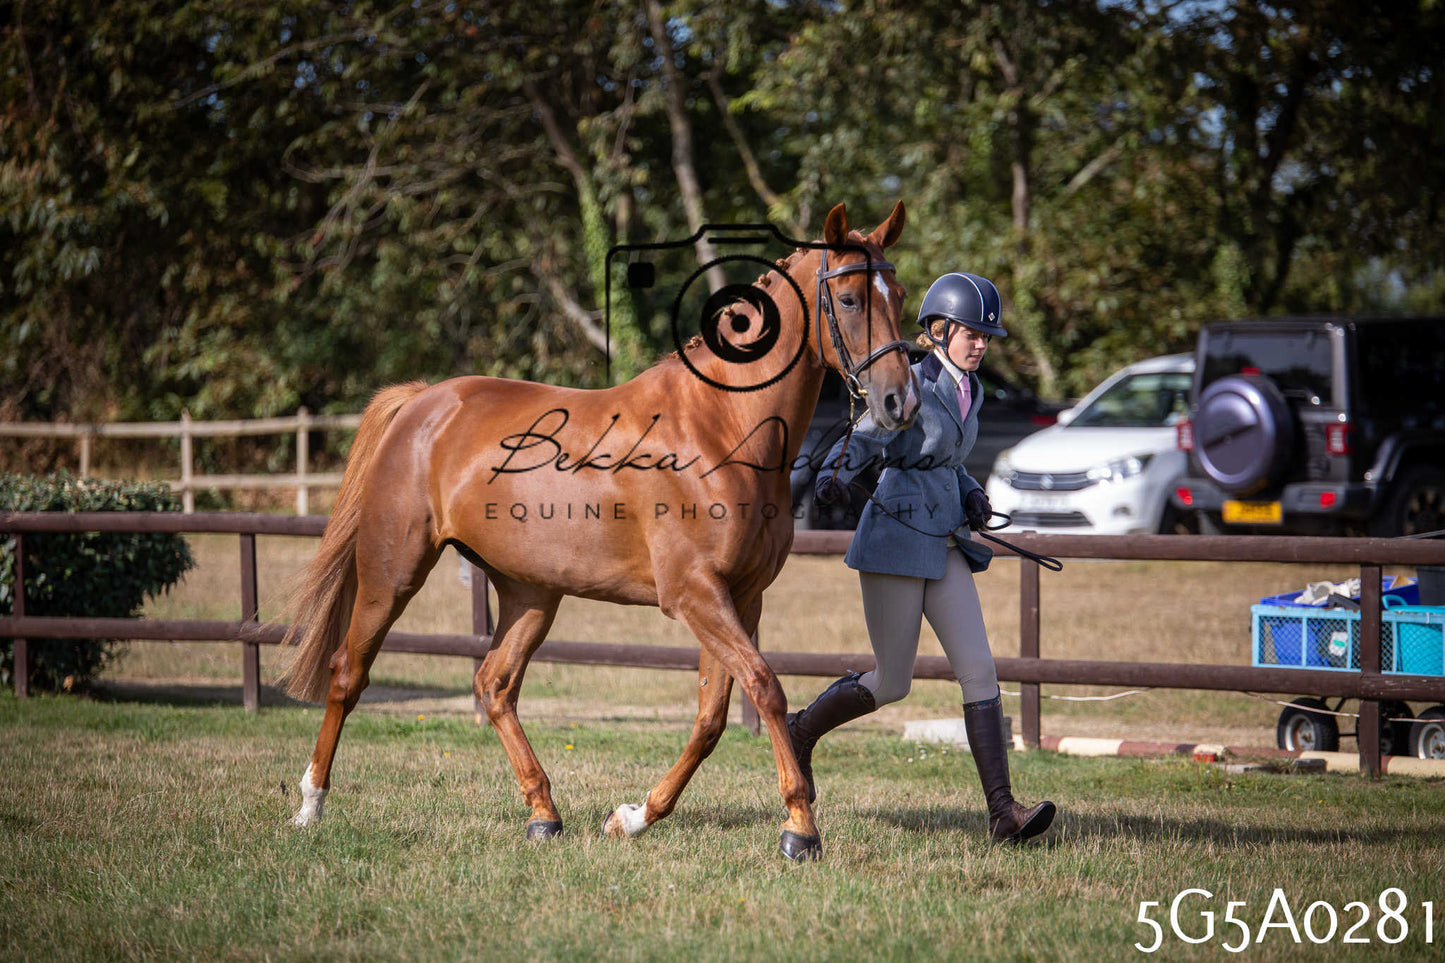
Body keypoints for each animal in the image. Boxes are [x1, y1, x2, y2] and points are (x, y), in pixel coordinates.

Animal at [280, 201, 918, 861]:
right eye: (849, 298)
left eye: (897, 294)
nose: (900, 402)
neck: (720, 426)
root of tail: (421, 403)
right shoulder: (695, 595)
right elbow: (765, 688)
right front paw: (800, 828)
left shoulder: (740, 597)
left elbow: (712, 717)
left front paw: (635, 817)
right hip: (393, 573)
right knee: (348, 673)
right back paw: (310, 806)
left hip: (531, 593)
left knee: (495, 684)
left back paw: (543, 814)